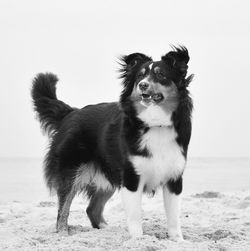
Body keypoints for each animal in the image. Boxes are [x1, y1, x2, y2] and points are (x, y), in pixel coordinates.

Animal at [31, 45, 193, 241]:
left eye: (161, 74)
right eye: (139, 76)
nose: (142, 85)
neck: (155, 124)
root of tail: (71, 112)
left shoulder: (174, 179)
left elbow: (174, 217)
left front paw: (178, 241)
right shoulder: (131, 178)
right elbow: (135, 216)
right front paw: (137, 240)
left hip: (109, 174)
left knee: (92, 209)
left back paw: (106, 229)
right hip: (71, 170)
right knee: (63, 207)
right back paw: (63, 233)